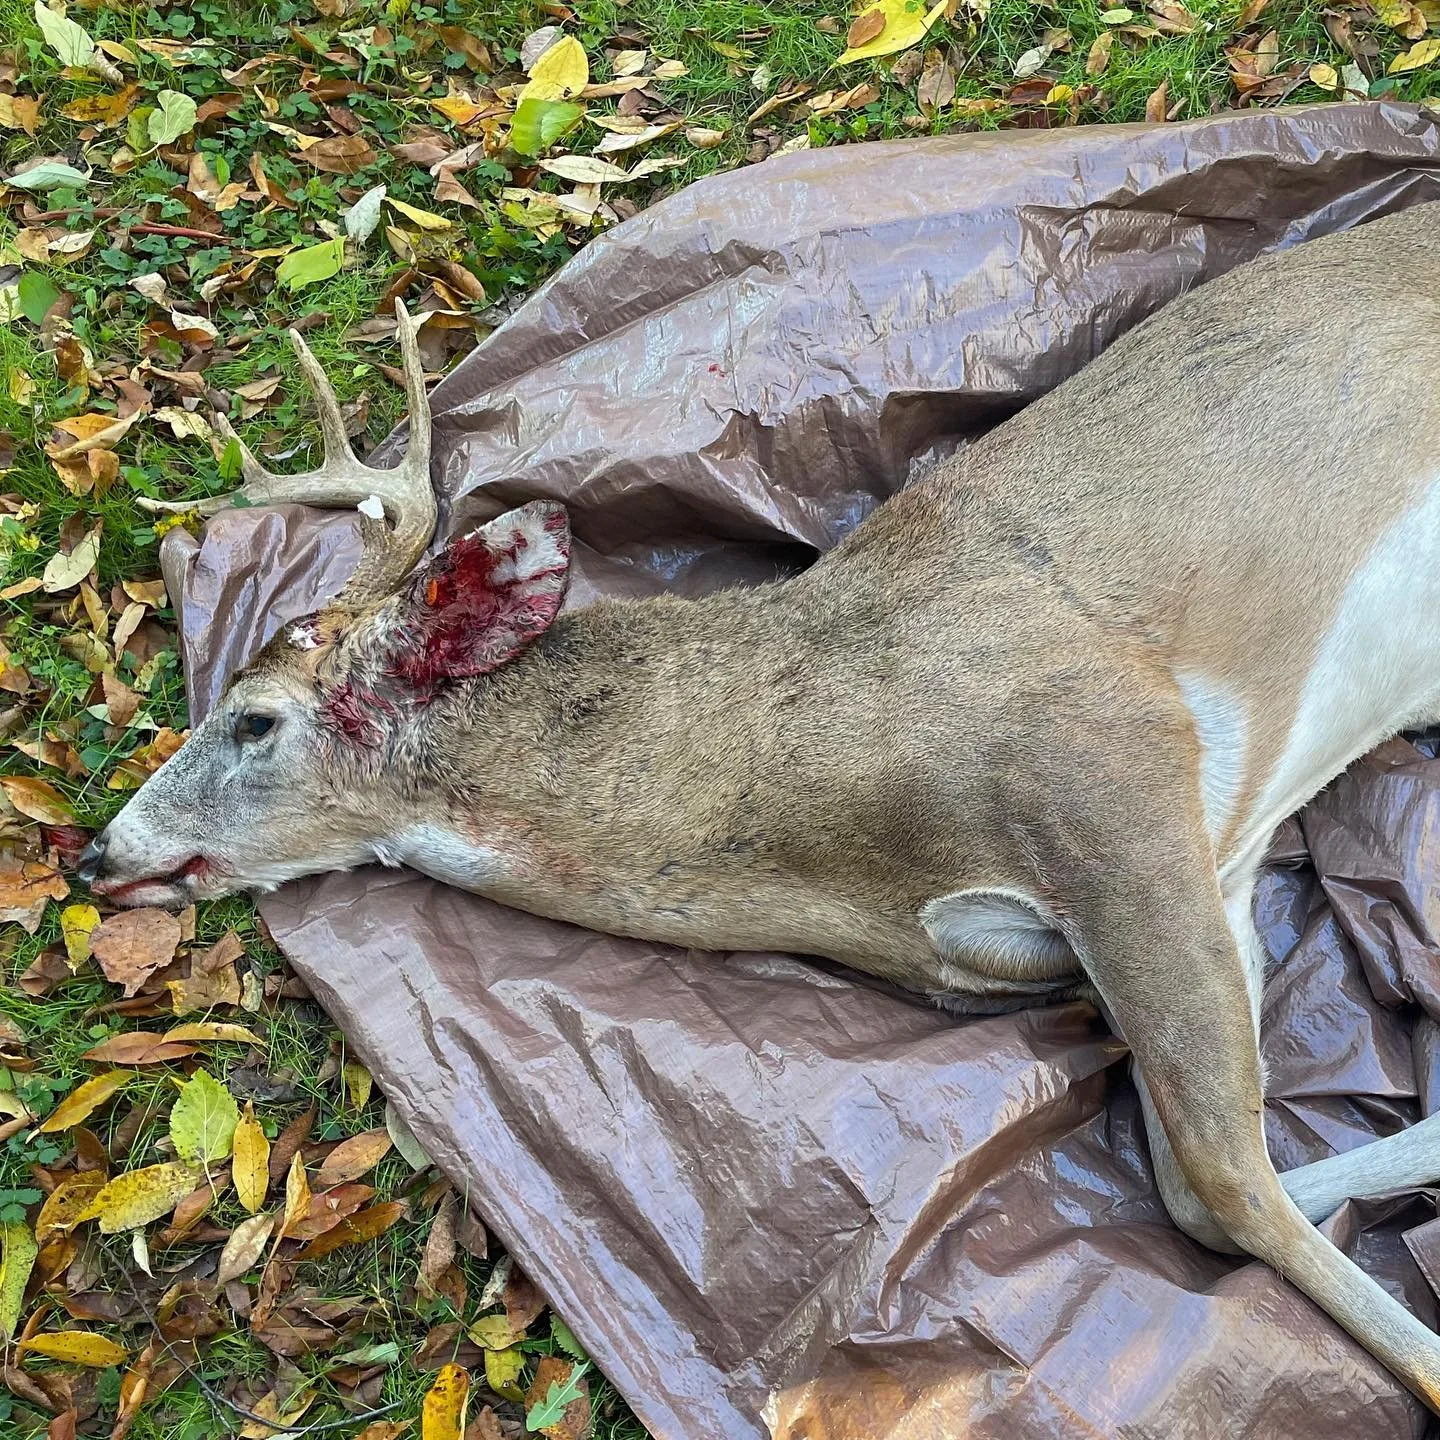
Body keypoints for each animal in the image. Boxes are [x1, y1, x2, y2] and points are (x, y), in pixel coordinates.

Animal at [75, 200, 1440, 1410]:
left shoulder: (1111, 766)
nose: (98, 855)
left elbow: (1226, 1179)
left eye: (253, 720)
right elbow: (1194, 1184)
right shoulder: (1206, 861)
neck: (827, 810)